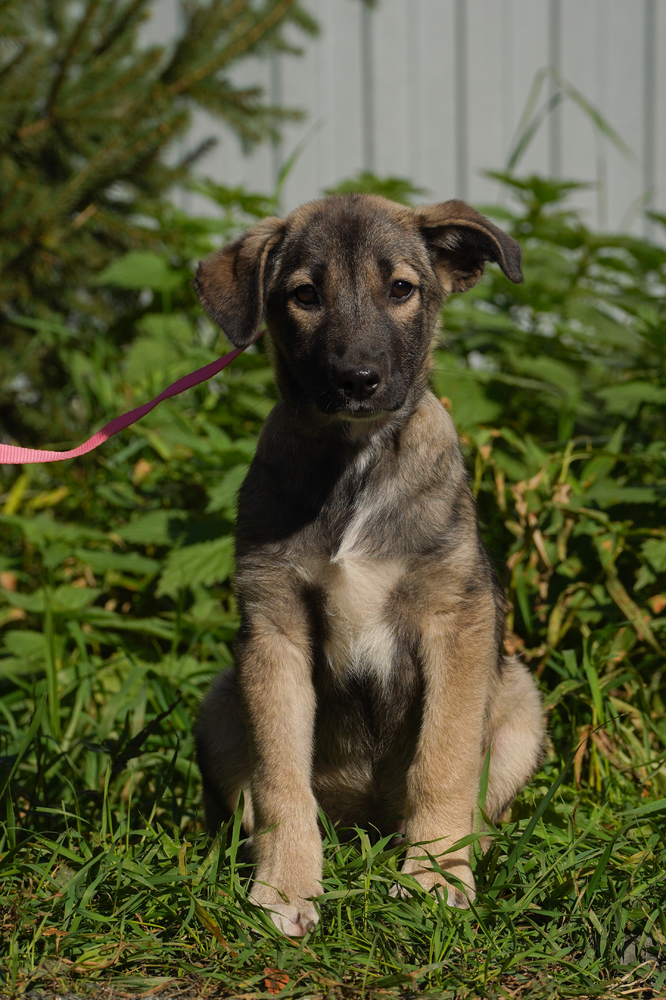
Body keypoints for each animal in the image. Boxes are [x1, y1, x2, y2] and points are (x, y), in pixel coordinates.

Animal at [194, 194, 545, 937]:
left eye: (402, 290)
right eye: (304, 296)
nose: (358, 380)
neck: (355, 461)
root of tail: (367, 826)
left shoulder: (457, 620)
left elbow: (443, 759)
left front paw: (436, 876)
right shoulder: (274, 631)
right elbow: (280, 779)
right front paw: (287, 887)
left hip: (521, 699)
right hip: (220, 702)